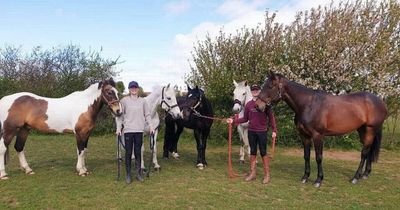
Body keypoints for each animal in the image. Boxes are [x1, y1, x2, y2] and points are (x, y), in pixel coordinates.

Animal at [256, 72, 388, 187]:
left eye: (270, 86)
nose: (257, 106)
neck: (308, 104)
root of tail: (380, 102)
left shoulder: (317, 135)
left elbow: (318, 157)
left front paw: (318, 180)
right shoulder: (304, 135)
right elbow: (306, 156)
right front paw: (305, 177)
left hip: (370, 130)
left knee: (364, 153)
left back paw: (355, 177)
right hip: (363, 131)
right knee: (369, 151)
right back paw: (365, 174)